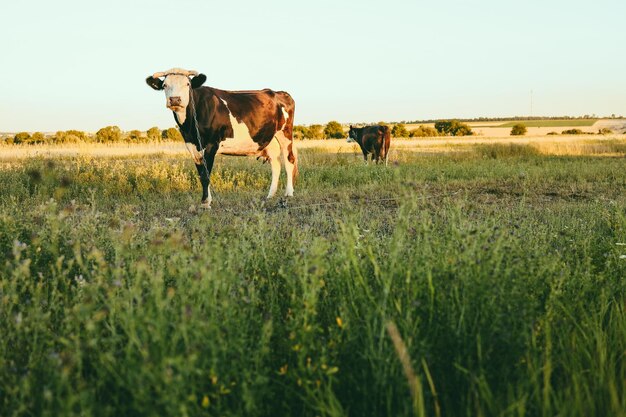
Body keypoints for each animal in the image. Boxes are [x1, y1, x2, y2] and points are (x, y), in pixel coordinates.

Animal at [145, 68, 296, 208]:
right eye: (165, 85)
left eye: (187, 84)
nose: (175, 99)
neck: (190, 126)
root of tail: (279, 93)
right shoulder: (193, 146)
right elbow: (201, 174)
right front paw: (206, 200)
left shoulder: (211, 144)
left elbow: (206, 175)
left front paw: (205, 203)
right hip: (269, 140)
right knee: (276, 164)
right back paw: (270, 195)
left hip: (285, 133)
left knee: (289, 160)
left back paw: (288, 194)